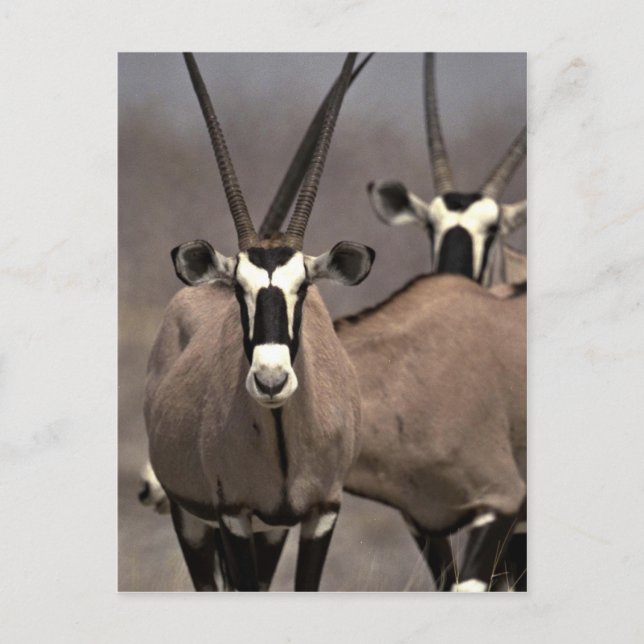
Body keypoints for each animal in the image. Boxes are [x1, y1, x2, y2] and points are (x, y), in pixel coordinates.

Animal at [144, 52, 376, 591]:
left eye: (303, 288)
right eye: (239, 289)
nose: (271, 381)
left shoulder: (320, 513)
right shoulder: (233, 513)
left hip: (270, 531)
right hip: (191, 517)